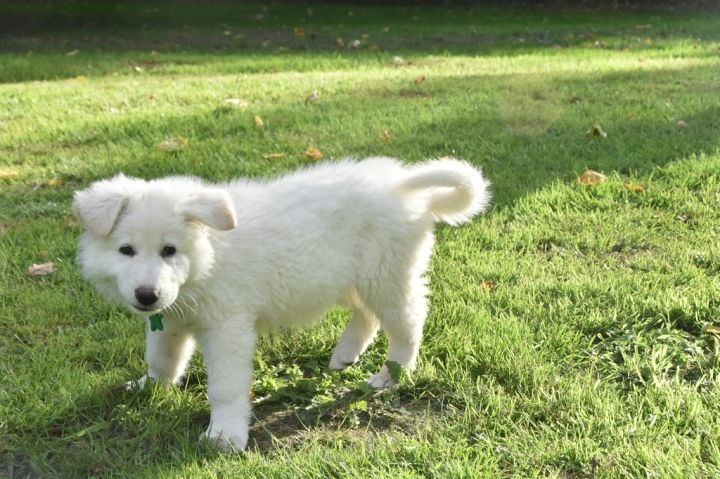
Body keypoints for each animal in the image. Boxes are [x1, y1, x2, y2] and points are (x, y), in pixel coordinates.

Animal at [73, 157, 490, 450]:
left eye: (169, 251)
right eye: (126, 250)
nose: (147, 295)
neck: (208, 259)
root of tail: (404, 187)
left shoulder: (228, 328)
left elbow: (224, 386)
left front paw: (224, 436)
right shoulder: (171, 319)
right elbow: (161, 358)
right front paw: (149, 387)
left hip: (386, 276)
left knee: (408, 321)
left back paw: (391, 375)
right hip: (348, 277)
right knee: (367, 314)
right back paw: (345, 355)